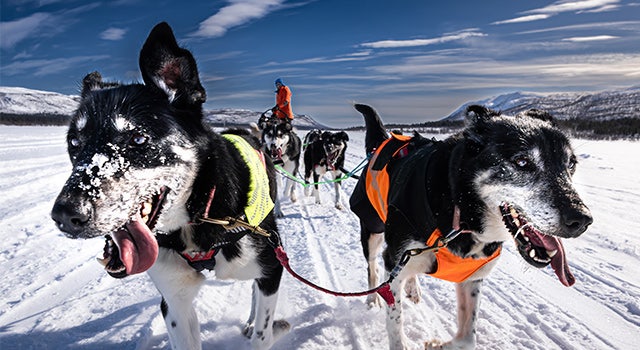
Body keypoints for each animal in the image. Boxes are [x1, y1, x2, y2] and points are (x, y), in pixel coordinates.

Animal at [50, 22, 290, 350]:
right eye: (74, 142)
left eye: (138, 139)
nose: (65, 216)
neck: (200, 216)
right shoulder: (175, 302)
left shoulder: (271, 270)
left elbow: (262, 331)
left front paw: (259, 327)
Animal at [348, 103, 592, 348]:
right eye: (522, 161)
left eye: (571, 164)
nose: (581, 220)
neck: (459, 211)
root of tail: (385, 140)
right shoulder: (393, 260)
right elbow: (395, 322)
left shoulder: (471, 277)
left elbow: (467, 338)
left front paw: (437, 345)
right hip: (373, 233)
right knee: (373, 269)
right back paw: (373, 299)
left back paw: (412, 287)